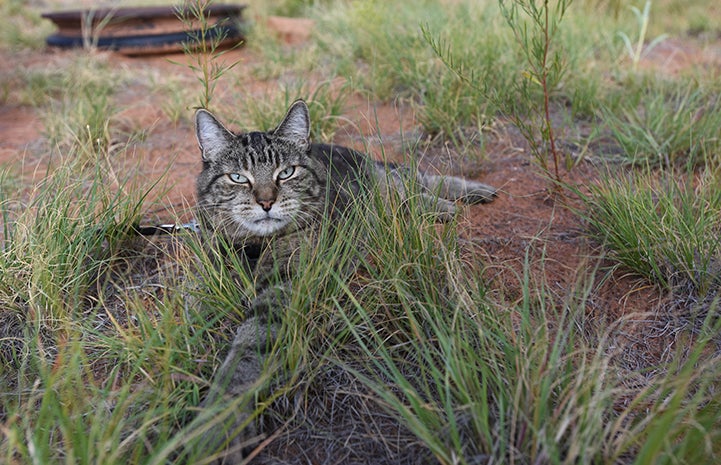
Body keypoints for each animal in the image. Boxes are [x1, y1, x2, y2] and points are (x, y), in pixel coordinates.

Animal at [194, 99, 492, 462]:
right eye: (237, 178)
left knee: (413, 179)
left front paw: (216, 424)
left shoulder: (286, 288)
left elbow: (245, 355)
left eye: (286, 172)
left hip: (382, 184)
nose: (266, 202)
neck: (253, 246)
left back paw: (459, 196)